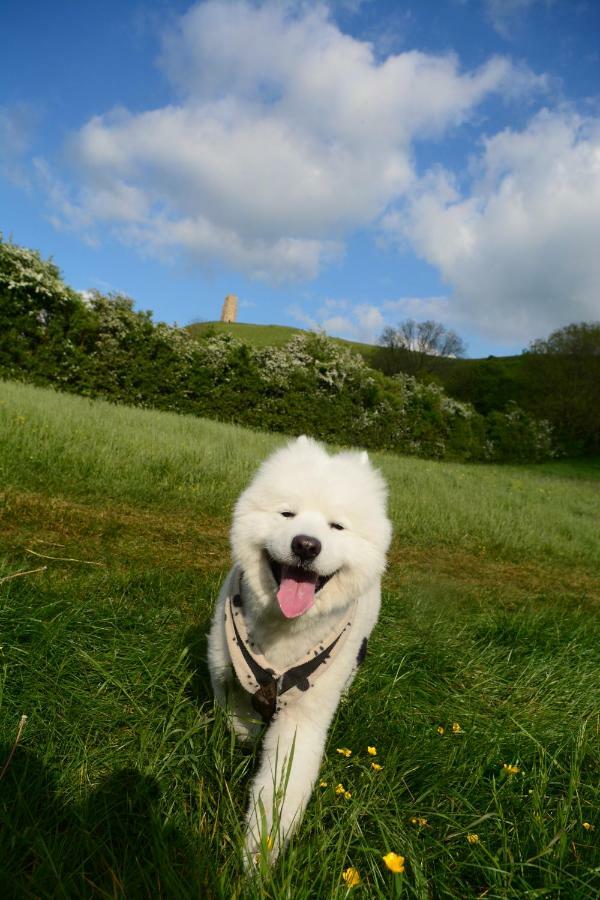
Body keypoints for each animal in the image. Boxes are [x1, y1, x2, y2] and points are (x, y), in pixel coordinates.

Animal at [209, 438, 392, 864]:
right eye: (287, 513)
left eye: (337, 526)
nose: (306, 544)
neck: (283, 635)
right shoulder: (223, 665)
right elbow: (235, 712)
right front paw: (246, 731)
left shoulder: (302, 721)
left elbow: (281, 792)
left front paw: (258, 857)